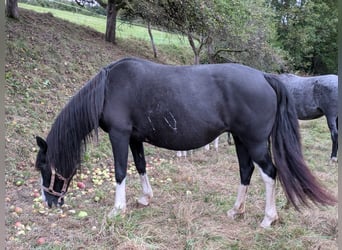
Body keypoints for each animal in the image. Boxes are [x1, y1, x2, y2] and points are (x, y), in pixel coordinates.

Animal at [35, 57, 336, 229]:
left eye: (43, 167)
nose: (50, 202)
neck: (109, 88)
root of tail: (264, 76)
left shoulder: (119, 135)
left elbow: (120, 171)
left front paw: (117, 210)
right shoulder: (134, 138)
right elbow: (141, 166)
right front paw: (145, 198)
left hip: (256, 143)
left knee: (269, 174)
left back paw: (267, 219)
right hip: (241, 140)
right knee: (246, 171)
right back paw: (236, 210)